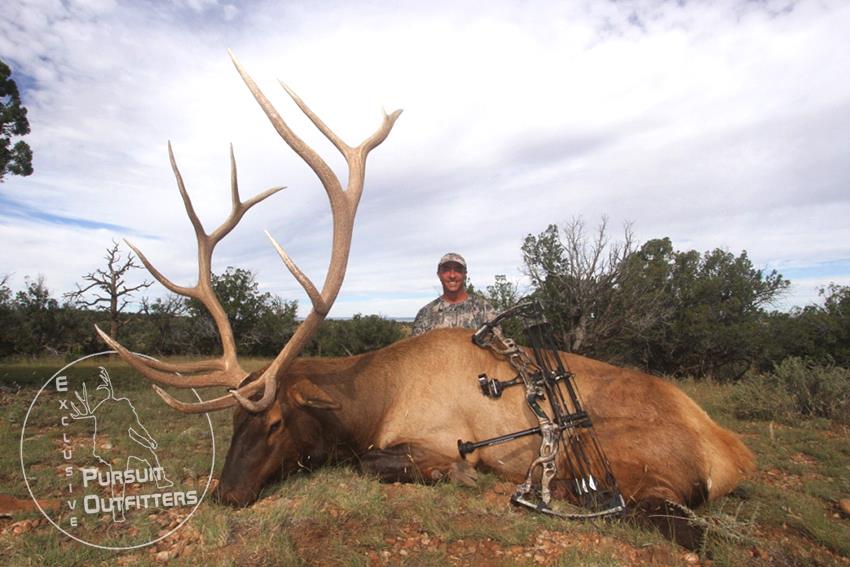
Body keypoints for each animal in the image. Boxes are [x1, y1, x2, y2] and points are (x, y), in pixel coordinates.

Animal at [96, 55, 752, 516]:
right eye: (232, 423)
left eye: (277, 423)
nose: (226, 495)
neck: (374, 402)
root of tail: (734, 455)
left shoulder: (436, 437)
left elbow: (376, 463)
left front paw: (456, 475)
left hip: (618, 455)